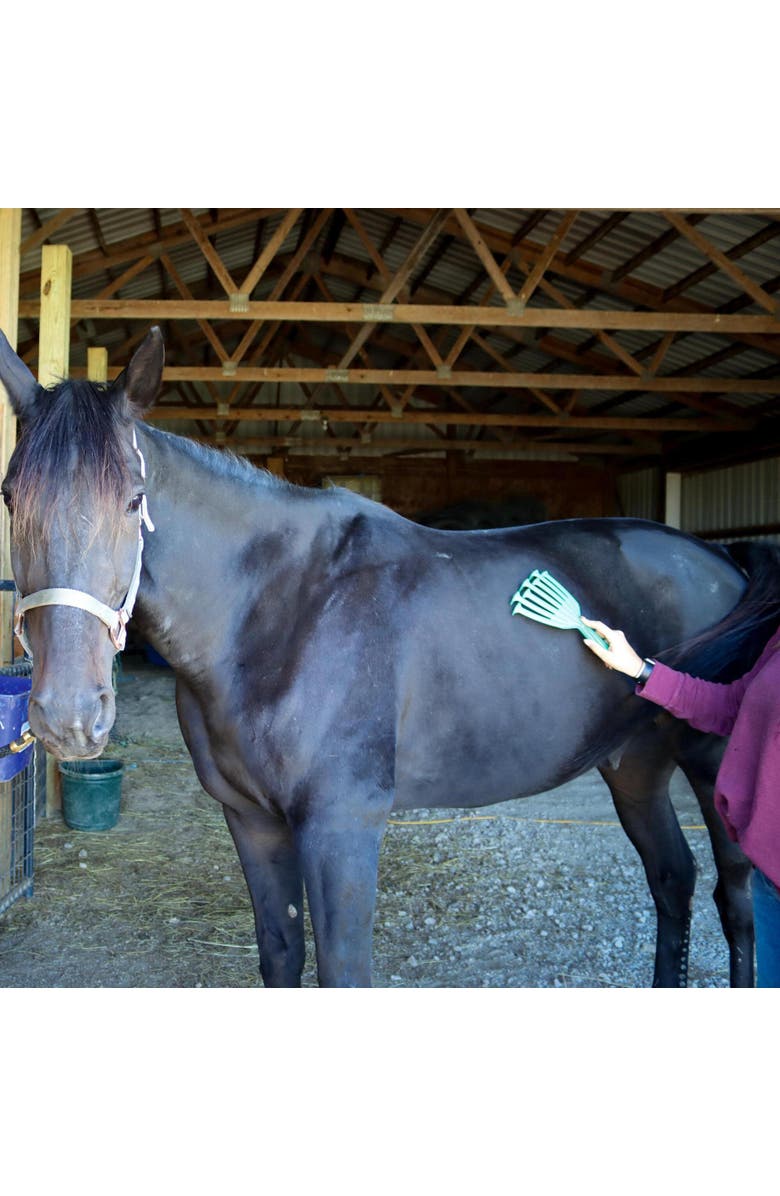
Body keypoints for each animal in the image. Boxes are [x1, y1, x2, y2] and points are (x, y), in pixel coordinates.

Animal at [2, 325, 779, 988]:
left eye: (135, 501)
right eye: (11, 498)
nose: (68, 716)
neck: (280, 609)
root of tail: (720, 561)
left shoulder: (343, 829)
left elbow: (343, 972)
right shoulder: (251, 822)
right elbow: (280, 956)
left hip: (710, 769)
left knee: (734, 896)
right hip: (635, 764)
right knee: (673, 879)